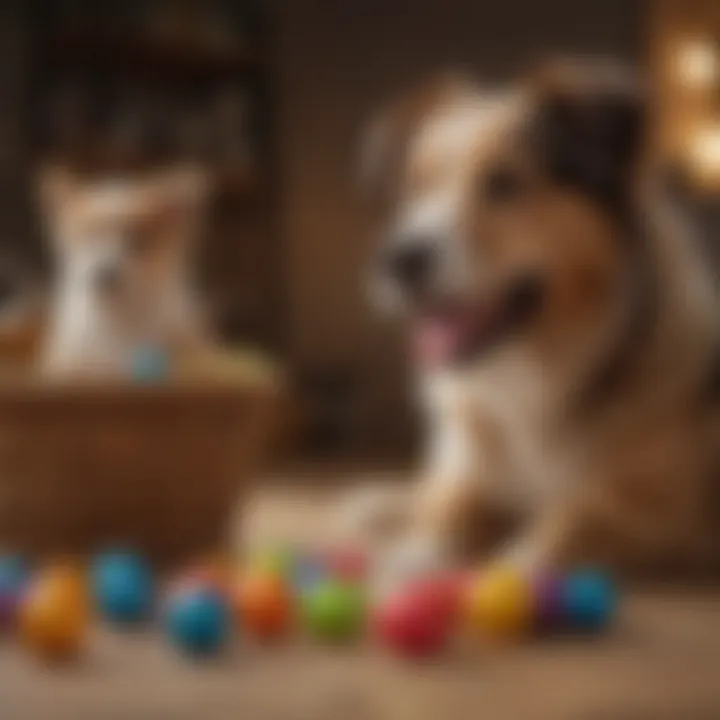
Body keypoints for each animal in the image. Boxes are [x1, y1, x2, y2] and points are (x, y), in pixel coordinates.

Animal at [354, 59, 720, 588]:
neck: (535, 369)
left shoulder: (660, 508)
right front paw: (411, 559)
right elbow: (448, 511)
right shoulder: (472, 468)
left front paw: (512, 570)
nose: (399, 260)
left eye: (506, 182)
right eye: (416, 186)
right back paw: (378, 505)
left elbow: (571, 519)